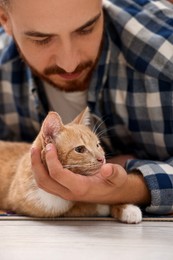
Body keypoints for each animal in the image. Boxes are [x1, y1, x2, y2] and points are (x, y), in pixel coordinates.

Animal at [0, 107, 142, 223]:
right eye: (80, 149)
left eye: (98, 145)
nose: (102, 159)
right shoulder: (42, 207)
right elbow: (87, 206)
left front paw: (126, 207)